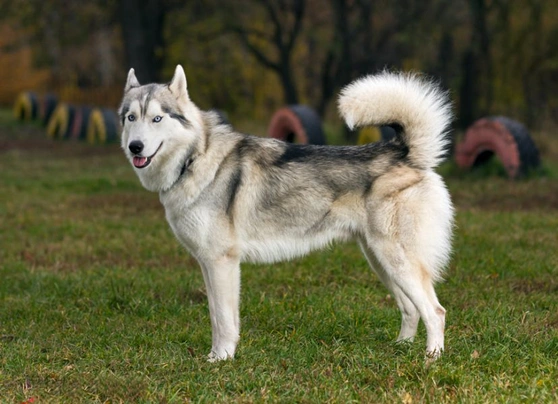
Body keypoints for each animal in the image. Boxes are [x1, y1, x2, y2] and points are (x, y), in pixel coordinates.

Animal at [118, 64, 456, 362]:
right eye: (131, 117)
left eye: (157, 118)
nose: (135, 147)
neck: (194, 159)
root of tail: (403, 152)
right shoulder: (208, 264)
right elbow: (219, 316)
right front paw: (219, 355)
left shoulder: (221, 262)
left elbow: (223, 320)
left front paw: (221, 359)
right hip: (381, 262)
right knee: (411, 309)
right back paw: (401, 348)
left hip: (397, 261)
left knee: (436, 312)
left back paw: (431, 359)